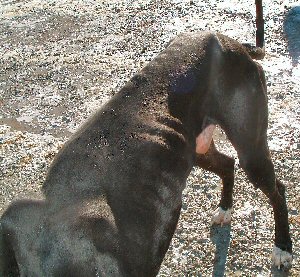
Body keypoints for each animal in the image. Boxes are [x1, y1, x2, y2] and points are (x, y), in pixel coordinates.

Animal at [0, 31, 292, 274]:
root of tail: (233, 42)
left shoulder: (160, 228)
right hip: (199, 149)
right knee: (228, 164)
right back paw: (225, 209)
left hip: (251, 150)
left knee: (277, 188)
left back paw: (283, 248)